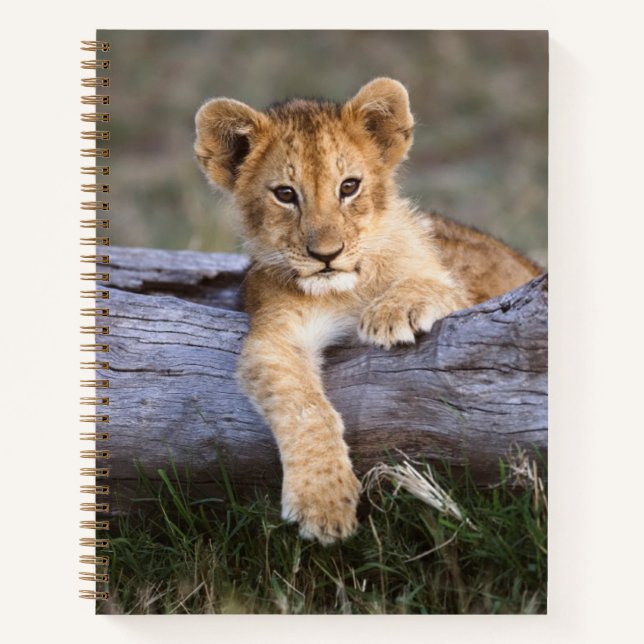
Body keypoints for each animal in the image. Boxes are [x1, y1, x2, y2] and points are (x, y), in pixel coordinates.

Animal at [194, 78, 541, 544]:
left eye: (349, 187)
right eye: (285, 194)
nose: (326, 255)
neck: (346, 290)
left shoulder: (468, 298)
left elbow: (434, 284)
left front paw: (393, 312)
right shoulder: (274, 334)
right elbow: (305, 407)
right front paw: (322, 502)